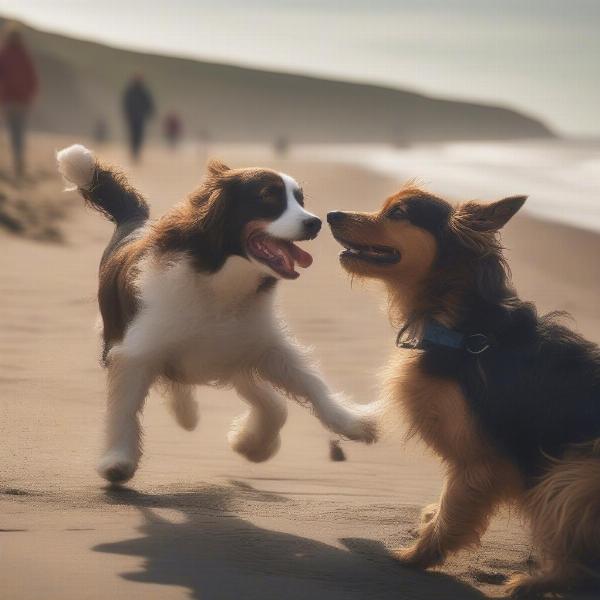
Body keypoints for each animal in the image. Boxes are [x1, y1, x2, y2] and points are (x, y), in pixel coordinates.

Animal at [56, 148, 376, 486]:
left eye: (300, 199)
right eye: (268, 196)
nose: (315, 222)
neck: (220, 283)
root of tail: (135, 222)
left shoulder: (261, 345)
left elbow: (308, 383)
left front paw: (351, 422)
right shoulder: (135, 351)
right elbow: (124, 408)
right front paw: (118, 460)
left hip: (230, 355)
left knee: (264, 399)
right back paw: (187, 413)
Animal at [328, 186, 600, 596]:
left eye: (398, 213)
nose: (330, 214)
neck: (465, 329)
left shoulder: (479, 462)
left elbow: (453, 511)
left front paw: (417, 556)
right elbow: (446, 507)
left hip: (572, 475)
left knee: (579, 564)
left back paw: (529, 584)